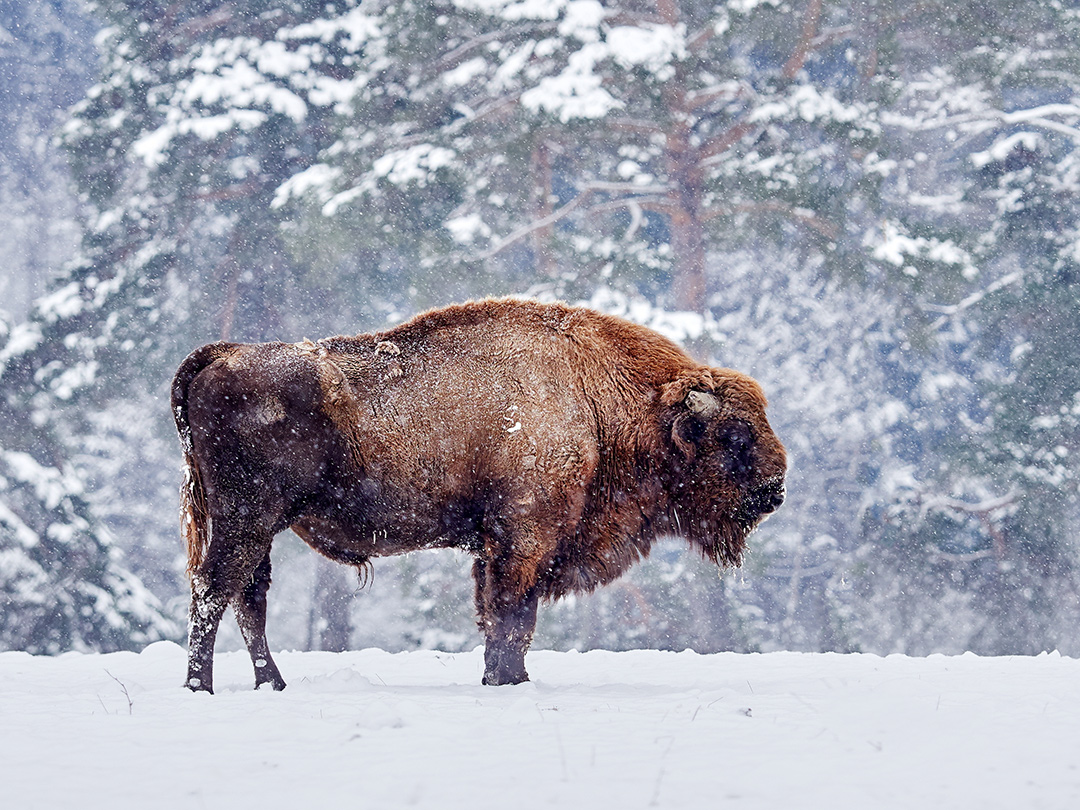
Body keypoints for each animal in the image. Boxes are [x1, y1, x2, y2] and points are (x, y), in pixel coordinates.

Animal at [174, 298, 786, 691]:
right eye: (735, 434)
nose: (775, 490)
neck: (597, 399)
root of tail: (223, 354)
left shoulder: (503, 550)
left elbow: (504, 619)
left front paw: (507, 677)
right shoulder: (523, 542)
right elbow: (511, 617)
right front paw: (506, 681)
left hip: (259, 528)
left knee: (248, 599)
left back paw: (272, 685)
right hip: (246, 518)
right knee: (214, 590)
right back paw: (201, 687)